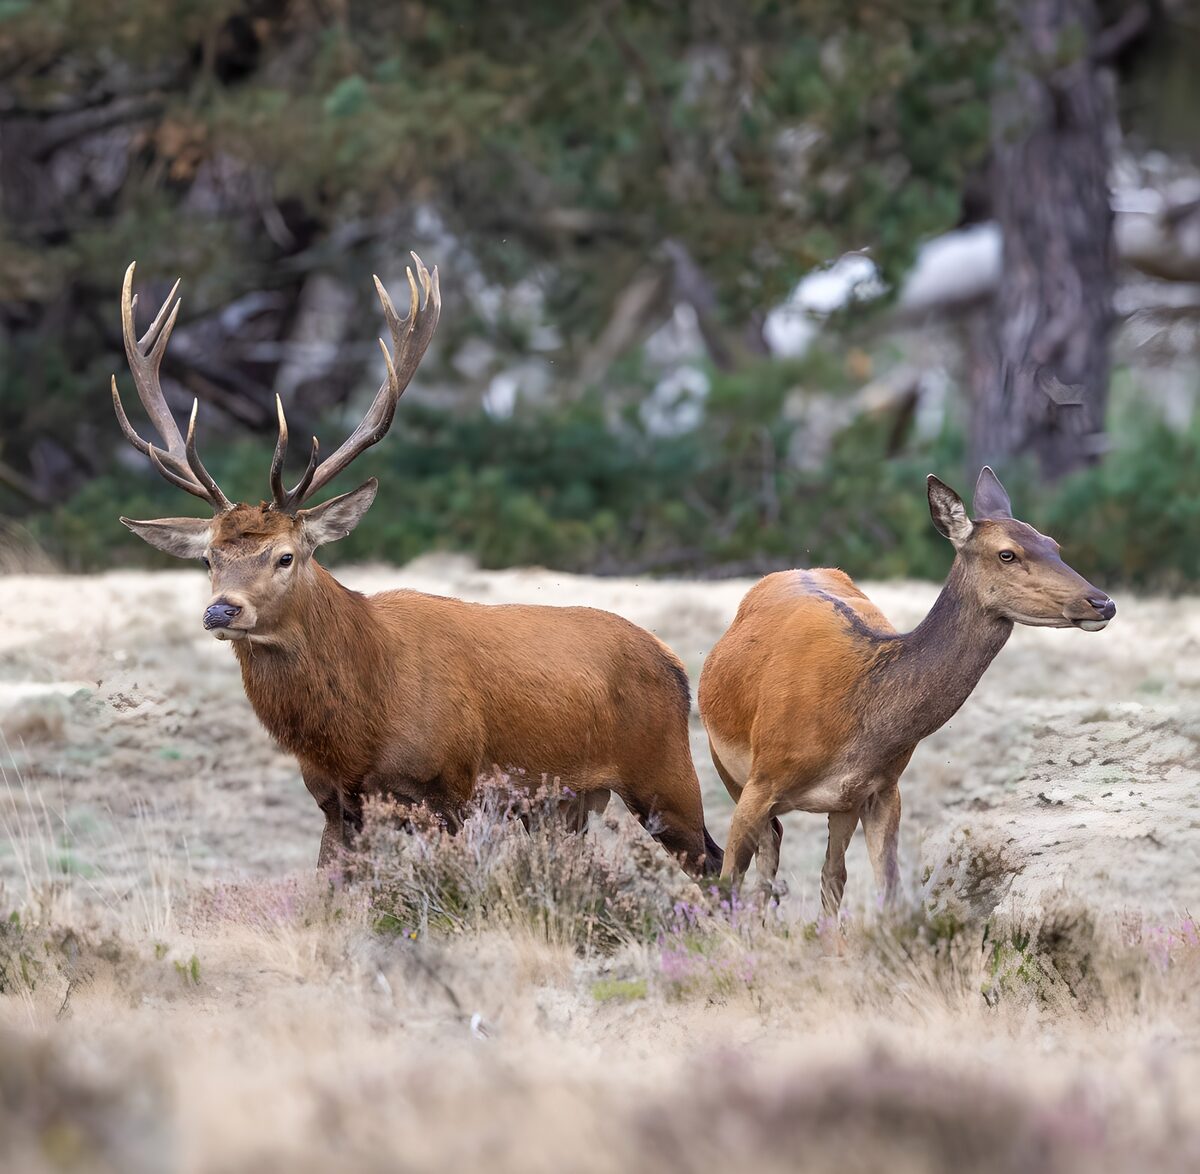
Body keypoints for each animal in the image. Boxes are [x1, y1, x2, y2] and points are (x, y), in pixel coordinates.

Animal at [111, 255, 722, 877]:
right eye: (208, 557)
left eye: (285, 555)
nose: (221, 611)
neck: (359, 728)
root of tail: (674, 662)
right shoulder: (335, 802)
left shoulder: (449, 789)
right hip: (565, 803)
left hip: (665, 772)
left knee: (718, 863)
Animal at [697, 467, 1115, 916]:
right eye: (1007, 554)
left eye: (1054, 545)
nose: (1102, 602)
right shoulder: (760, 782)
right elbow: (727, 879)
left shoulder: (882, 788)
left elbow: (887, 891)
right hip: (724, 761)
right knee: (769, 853)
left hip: (840, 803)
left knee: (828, 873)